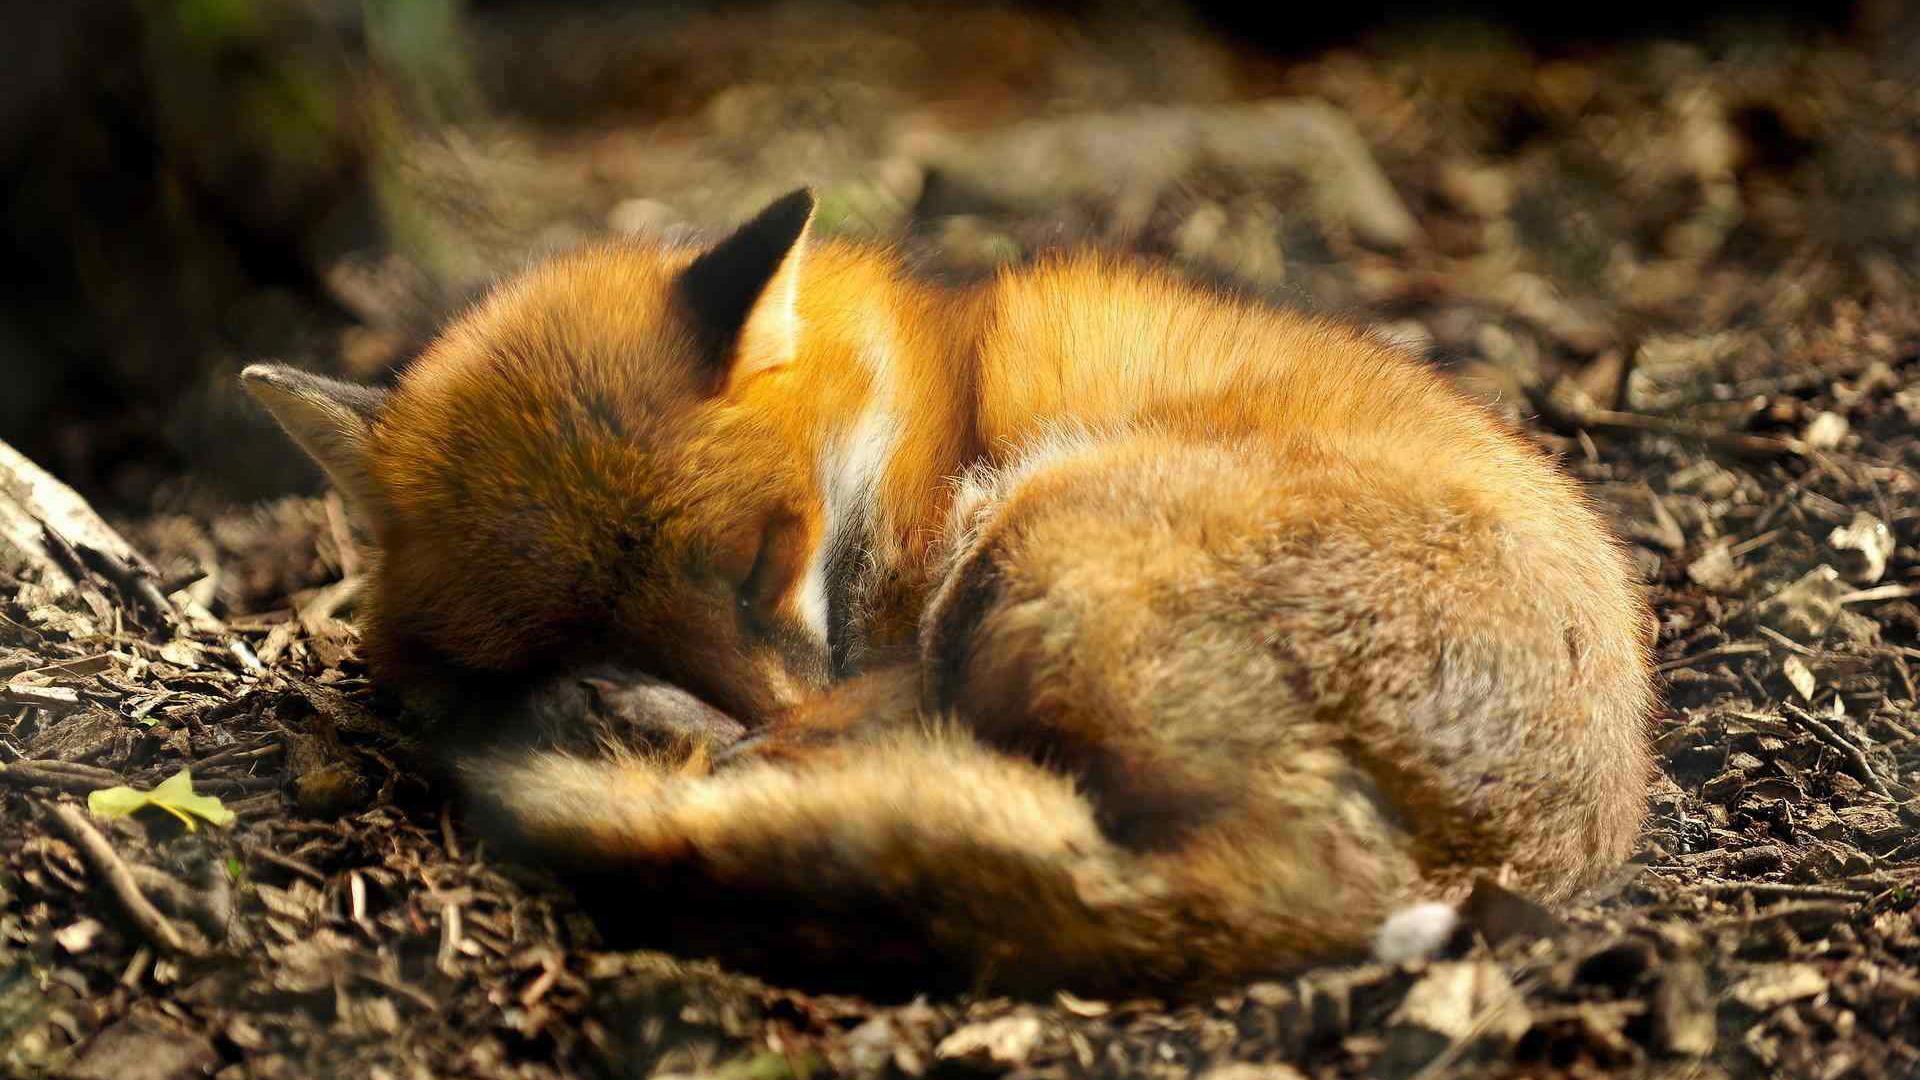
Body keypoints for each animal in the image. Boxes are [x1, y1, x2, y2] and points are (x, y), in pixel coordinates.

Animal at [242, 187, 1655, 997]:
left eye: (763, 561)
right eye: (566, 622)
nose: (752, 711)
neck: (909, 410)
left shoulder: (897, 608)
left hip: (1038, 535)